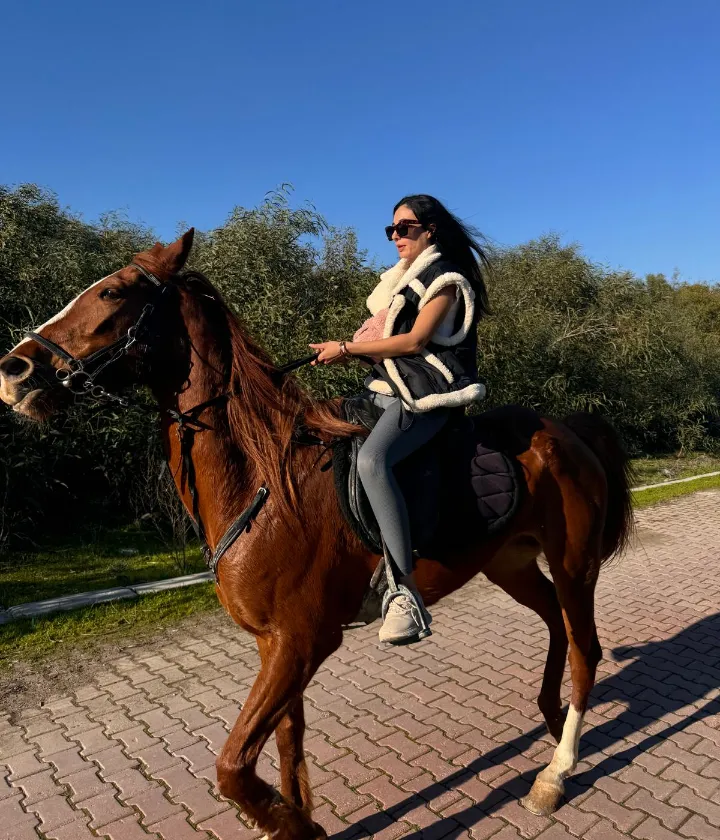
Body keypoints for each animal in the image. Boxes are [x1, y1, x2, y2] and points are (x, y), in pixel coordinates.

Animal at [0, 230, 634, 839]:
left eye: (112, 292)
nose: (15, 370)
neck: (265, 480)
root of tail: (566, 430)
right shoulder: (273, 643)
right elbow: (286, 742)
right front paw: (296, 818)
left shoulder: (302, 642)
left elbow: (232, 767)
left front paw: (292, 826)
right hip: (511, 563)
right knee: (556, 624)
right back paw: (551, 719)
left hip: (574, 565)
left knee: (585, 648)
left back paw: (555, 774)